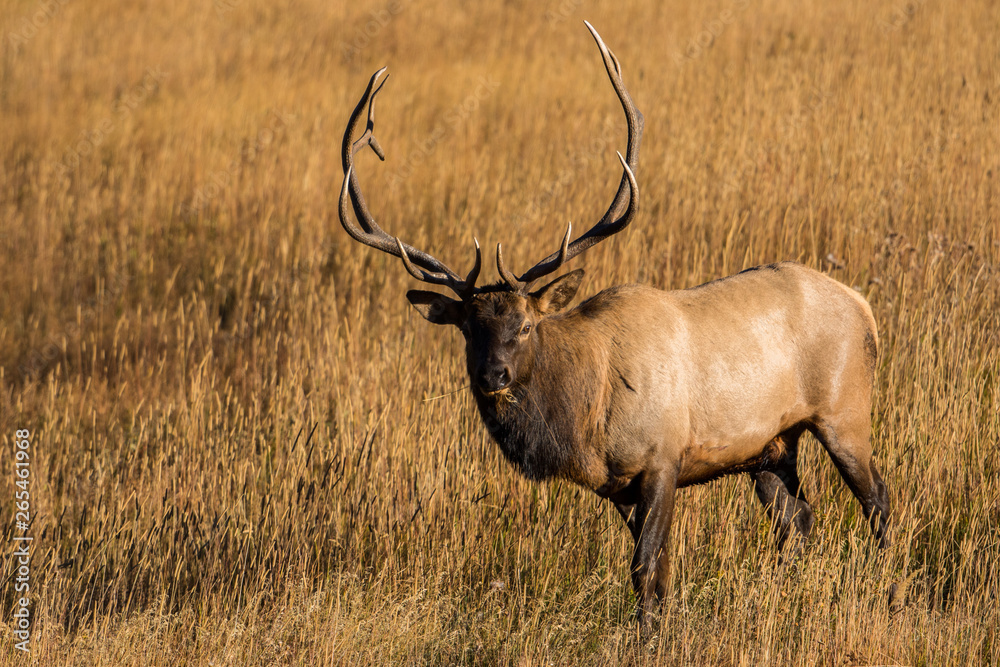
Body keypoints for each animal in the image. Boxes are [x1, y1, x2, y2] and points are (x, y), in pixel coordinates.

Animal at [337, 22, 891, 625]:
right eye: (467, 327)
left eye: (527, 324)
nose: (493, 376)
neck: (587, 413)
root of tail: (865, 308)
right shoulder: (619, 487)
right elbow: (657, 576)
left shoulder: (663, 457)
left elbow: (646, 571)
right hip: (771, 446)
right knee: (800, 520)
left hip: (844, 412)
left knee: (878, 500)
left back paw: (888, 585)